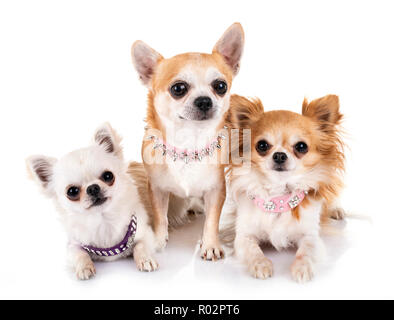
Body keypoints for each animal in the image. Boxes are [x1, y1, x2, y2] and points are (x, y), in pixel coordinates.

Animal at [26, 124, 159, 278]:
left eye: (108, 176)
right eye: (72, 191)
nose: (93, 188)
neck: (103, 221)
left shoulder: (147, 233)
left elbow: (140, 246)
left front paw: (146, 259)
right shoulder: (72, 245)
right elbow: (79, 254)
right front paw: (84, 267)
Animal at [131, 24, 245, 260]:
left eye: (220, 86)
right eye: (178, 88)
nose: (204, 100)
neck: (188, 144)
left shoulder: (216, 190)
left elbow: (212, 220)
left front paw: (210, 244)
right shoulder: (156, 189)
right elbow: (160, 217)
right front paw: (158, 240)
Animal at [228, 94, 344, 282]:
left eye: (301, 146)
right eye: (262, 145)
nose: (280, 155)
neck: (278, 197)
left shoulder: (310, 235)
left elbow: (306, 251)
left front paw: (302, 268)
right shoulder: (244, 236)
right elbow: (253, 250)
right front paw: (261, 264)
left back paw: (337, 209)